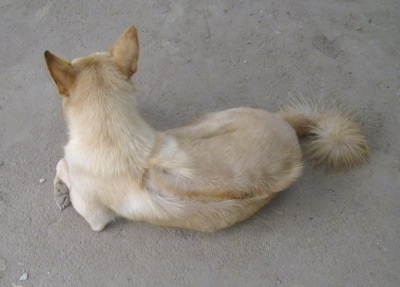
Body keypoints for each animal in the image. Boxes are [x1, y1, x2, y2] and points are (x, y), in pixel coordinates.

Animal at [44, 25, 368, 233]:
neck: (113, 133)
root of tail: (286, 126)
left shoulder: (95, 216)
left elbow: (62, 164)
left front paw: (60, 188)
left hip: (208, 119)